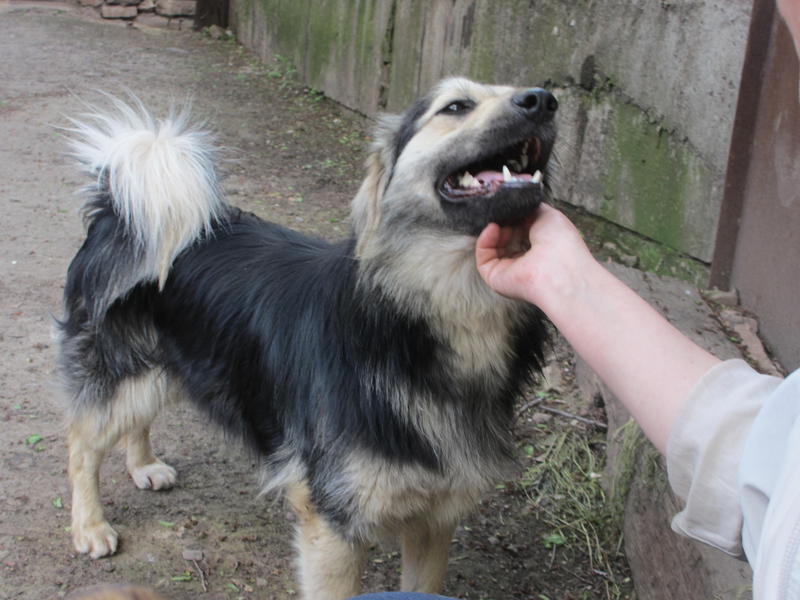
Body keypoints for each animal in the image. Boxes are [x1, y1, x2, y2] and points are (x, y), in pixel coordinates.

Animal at [59, 79, 556, 600]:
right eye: (456, 106)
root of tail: (116, 214)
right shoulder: (331, 522)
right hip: (119, 374)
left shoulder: (435, 519)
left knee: (136, 418)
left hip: (163, 368)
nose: (543, 100)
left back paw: (144, 466)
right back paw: (90, 526)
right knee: (81, 444)